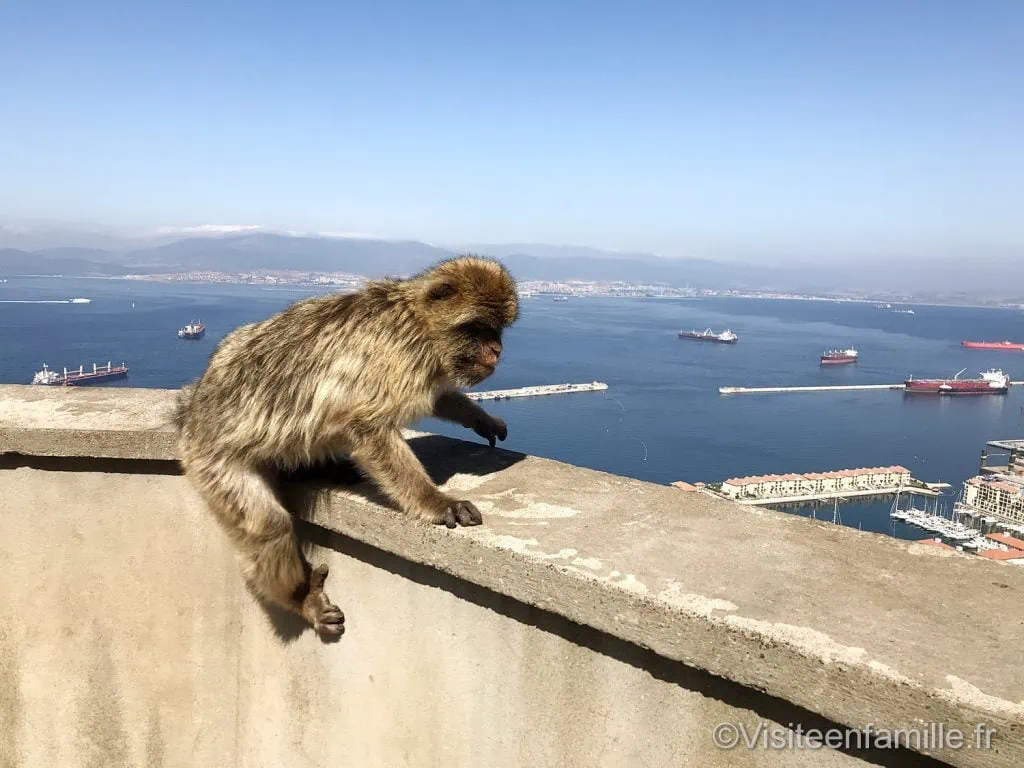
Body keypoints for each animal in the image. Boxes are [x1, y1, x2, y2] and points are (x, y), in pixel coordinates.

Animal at [173, 256, 519, 637]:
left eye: (497, 330)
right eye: (479, 328)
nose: (497, 350)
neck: (417, 322)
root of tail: (190, 415)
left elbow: (438, 396)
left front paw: (481, 418)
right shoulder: (397, 354)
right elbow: (366, 425)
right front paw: (436, 501)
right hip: (212, 462)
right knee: (268, 526)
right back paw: (300, 600)